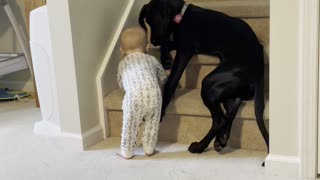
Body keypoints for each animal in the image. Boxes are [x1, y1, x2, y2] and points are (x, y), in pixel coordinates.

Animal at [139, 0, 268, 155]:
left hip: (209, 83)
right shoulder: (177, 43)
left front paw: (161, 110)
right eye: (147, 21)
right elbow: (166, 44)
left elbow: (170, 83)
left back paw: (199, 146)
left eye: (152, 19)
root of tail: (258, 71)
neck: (182, 14)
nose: (153, 41)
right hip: (227, 90)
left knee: (219, 121)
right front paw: (166, 59)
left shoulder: (185, 50)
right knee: (233, 107)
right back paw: (221, 139)